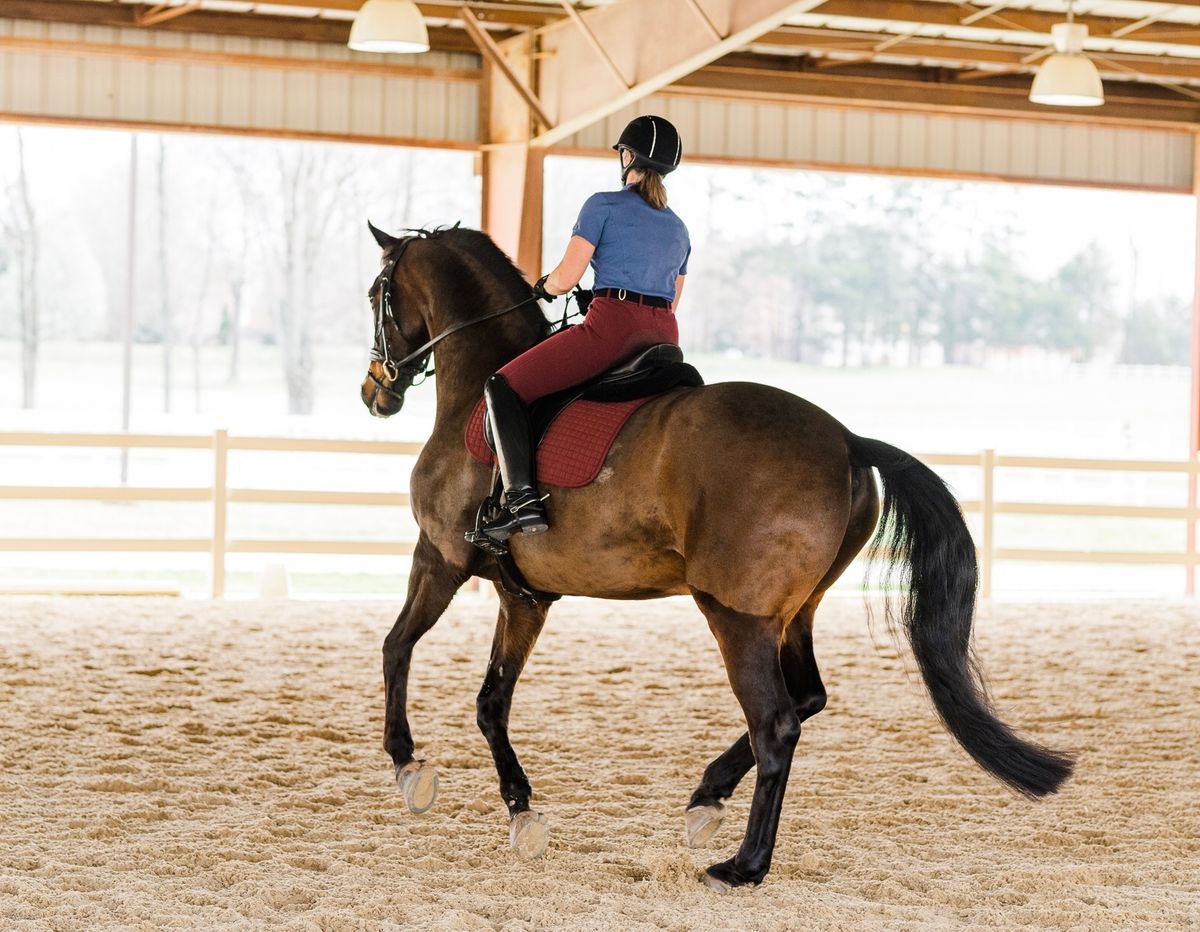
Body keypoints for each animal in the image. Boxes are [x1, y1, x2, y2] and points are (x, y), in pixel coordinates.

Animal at [360, 221, 1075, 892]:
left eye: (376, 295)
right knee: (807, 697)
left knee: (777, 724)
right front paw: (521, 809)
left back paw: (744, 864)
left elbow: (399, 647)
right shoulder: (525, 595)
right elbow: (491, 701)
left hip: (735, 617)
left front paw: (407, 764)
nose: (376, 392)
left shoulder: (440, 559)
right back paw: (707, 797)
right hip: (792, 614)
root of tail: (846, 439)